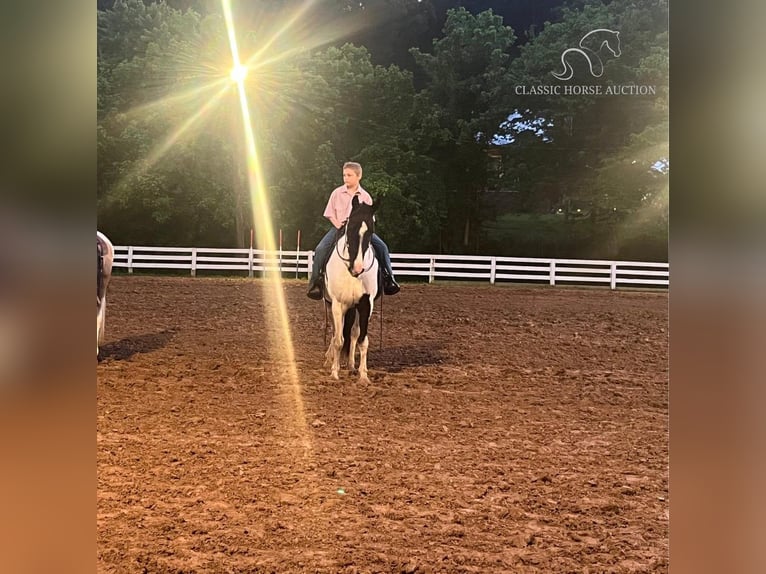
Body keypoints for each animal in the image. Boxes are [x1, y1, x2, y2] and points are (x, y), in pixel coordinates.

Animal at [324, 196, 380, 384]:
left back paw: (351, 366)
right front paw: (334, 373)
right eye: (350, 227)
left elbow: (362, 340)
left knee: (353, 334)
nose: (358, 268)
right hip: (331, 305)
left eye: (370, 231)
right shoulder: (337, 304)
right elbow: (338, 340)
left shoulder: (365, 304)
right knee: (336, 333)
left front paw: (363, 376)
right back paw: (330, 360)